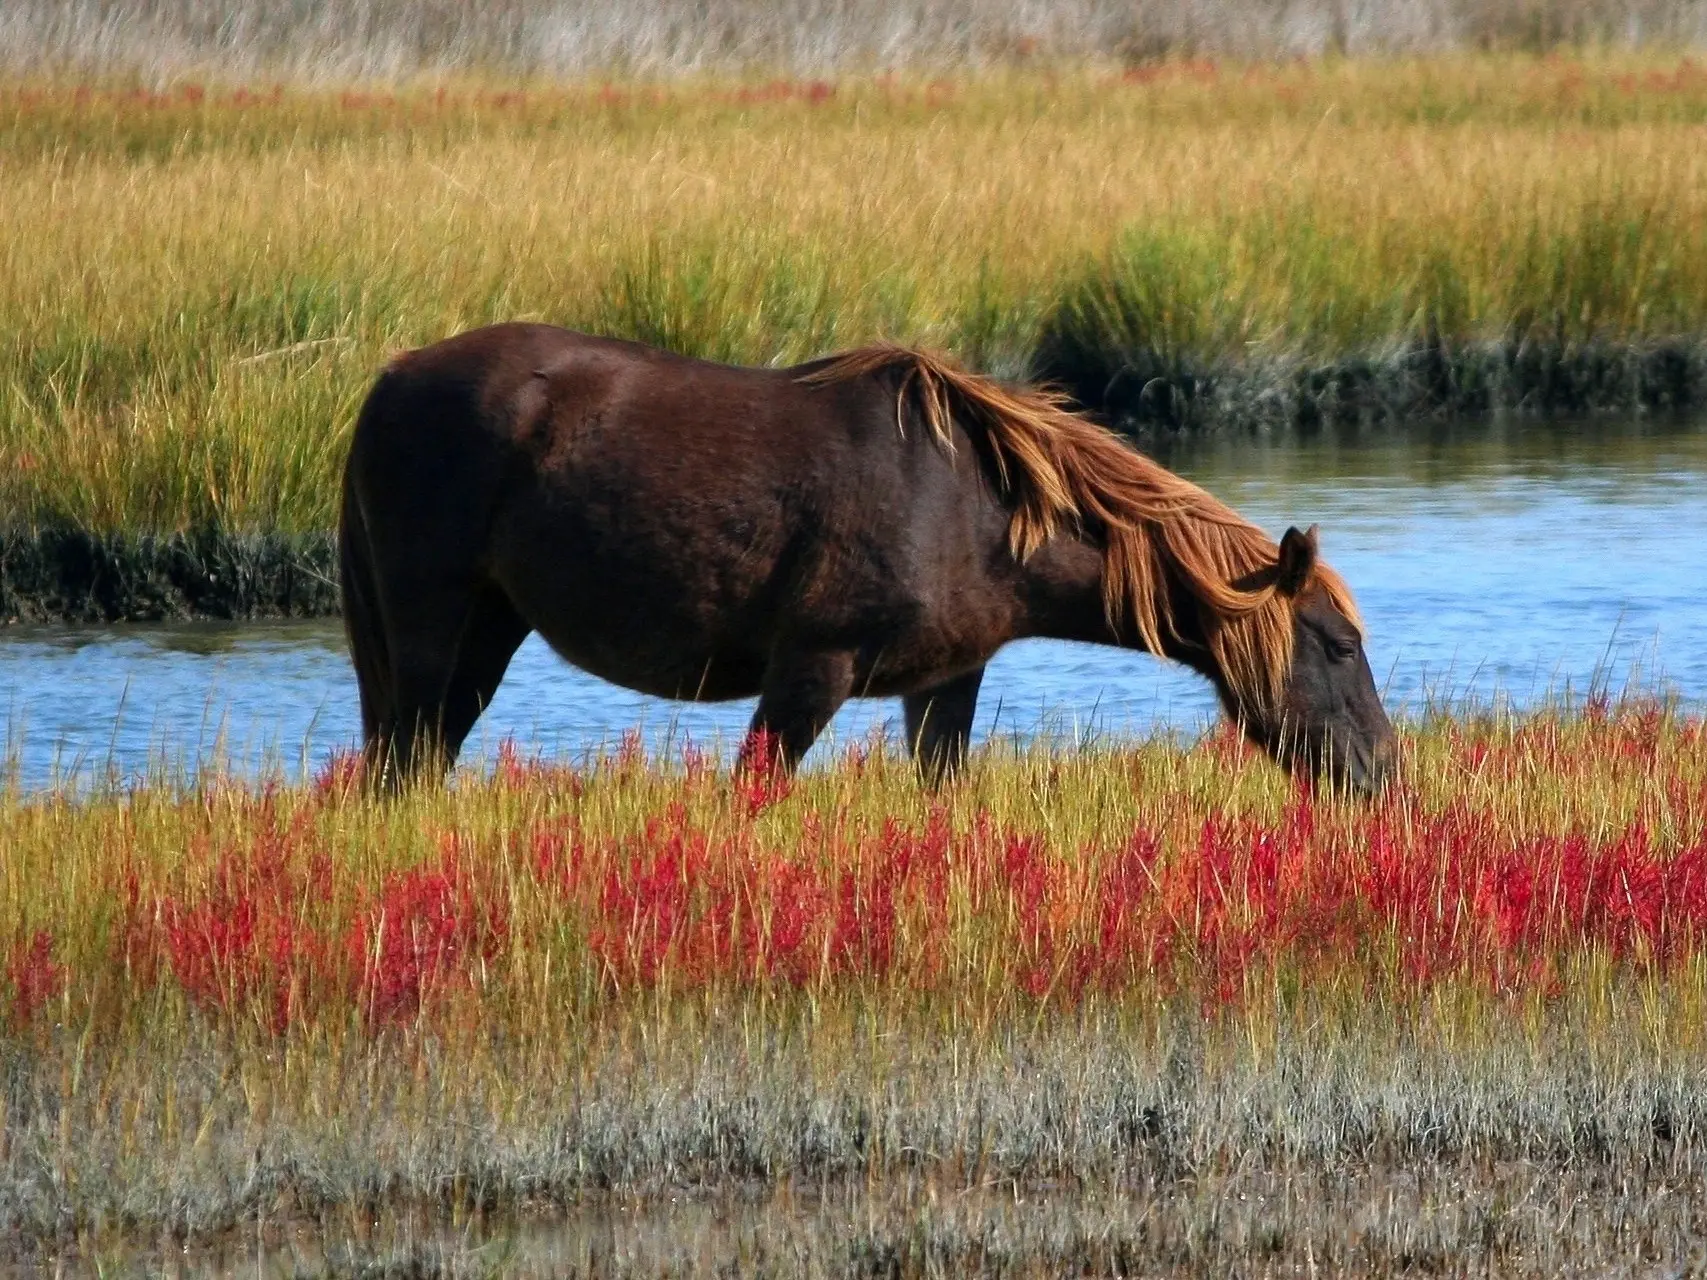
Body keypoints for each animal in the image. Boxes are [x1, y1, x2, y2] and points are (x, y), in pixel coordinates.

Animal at [339, 322, 1392, 791]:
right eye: (1337, 646)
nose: (1385, 773)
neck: (979, 506)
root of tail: (392, 379)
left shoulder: (945, 681)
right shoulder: (813, 669)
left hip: (489, 629)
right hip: (430, 625)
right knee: (399, 759)